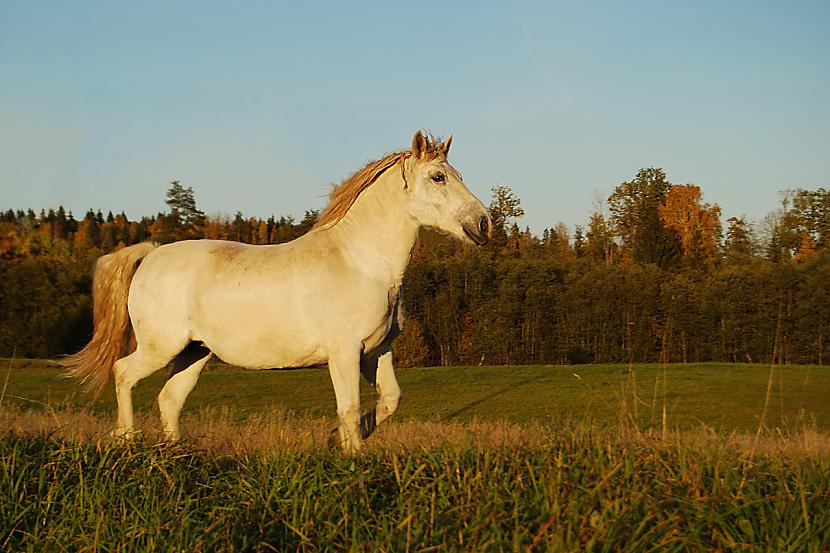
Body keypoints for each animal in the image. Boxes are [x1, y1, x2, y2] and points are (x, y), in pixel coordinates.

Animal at [66, 132, 494, 450]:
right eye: (439, 177)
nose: (484, 224)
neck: (362, 261)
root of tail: (151, 255)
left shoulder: (378, 351)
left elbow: (388, 401)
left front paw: (334, 440)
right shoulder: (344, 353)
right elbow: (349, 408)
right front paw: (351, 456)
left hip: (194, 352)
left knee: (169, 399)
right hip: (162, 346)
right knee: (124, 373)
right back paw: (125, 439)